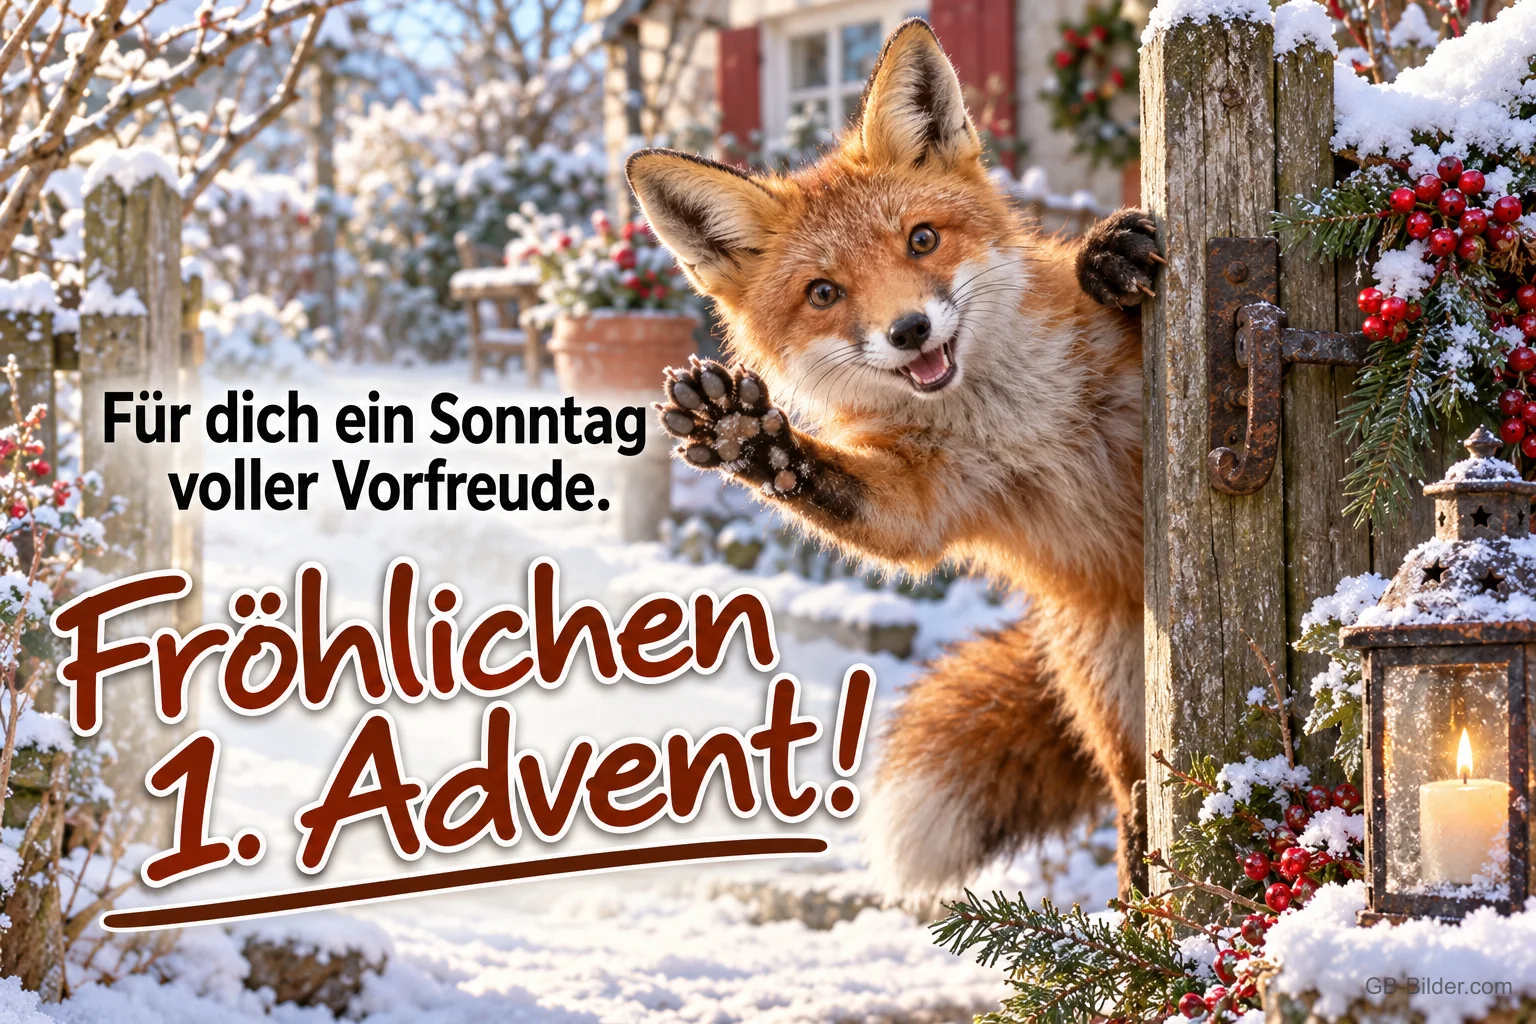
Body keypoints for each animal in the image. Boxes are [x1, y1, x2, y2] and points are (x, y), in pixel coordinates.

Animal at [625, 18, 1162, 897]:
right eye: (823, 293)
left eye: (922, 239)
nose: (910, 330)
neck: (1013, 419)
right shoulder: (925, 498)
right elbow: (842, 494)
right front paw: (747, 437)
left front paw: (1104, 257)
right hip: (1117, 707)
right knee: (1136, 801)